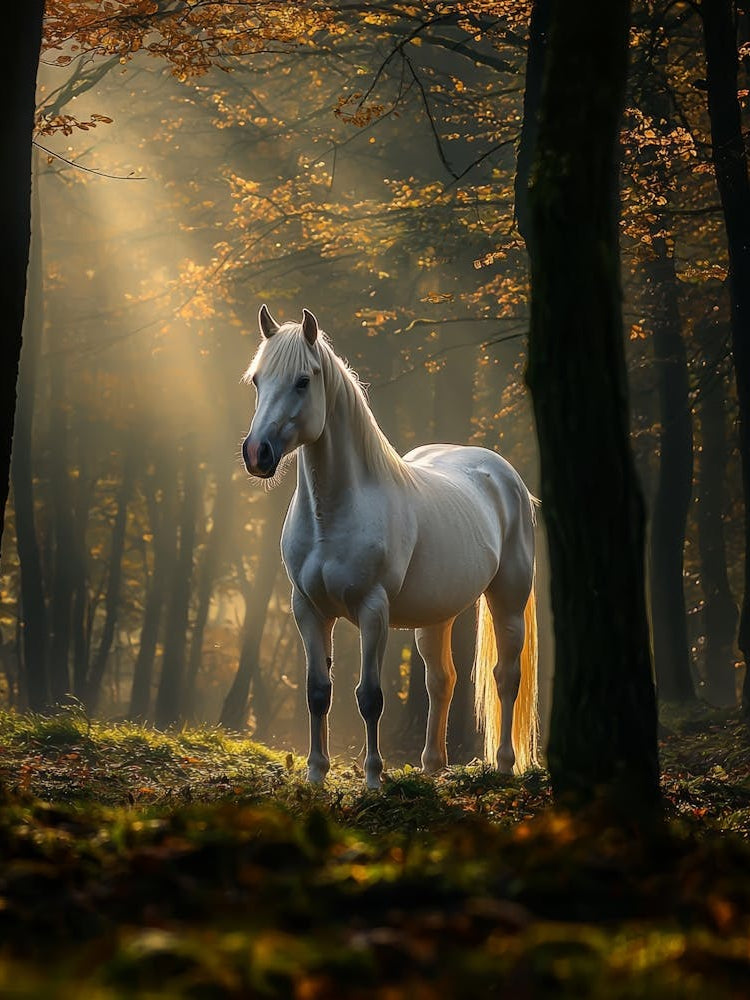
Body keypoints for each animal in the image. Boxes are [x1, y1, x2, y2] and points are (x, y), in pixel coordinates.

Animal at [241, 305, 539, 789]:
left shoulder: (372, 609)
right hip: (436, 616)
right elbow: (317, 691)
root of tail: (504, 474)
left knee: (505, 676)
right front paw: (316, 773)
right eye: (256, 380)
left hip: (507, 601)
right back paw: (433, 766)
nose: (257, 453)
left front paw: (374, 778)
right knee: (441, 680)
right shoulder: (308, 609)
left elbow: (370, 696)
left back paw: (504, 764)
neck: (332, 514)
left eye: (303, 381)